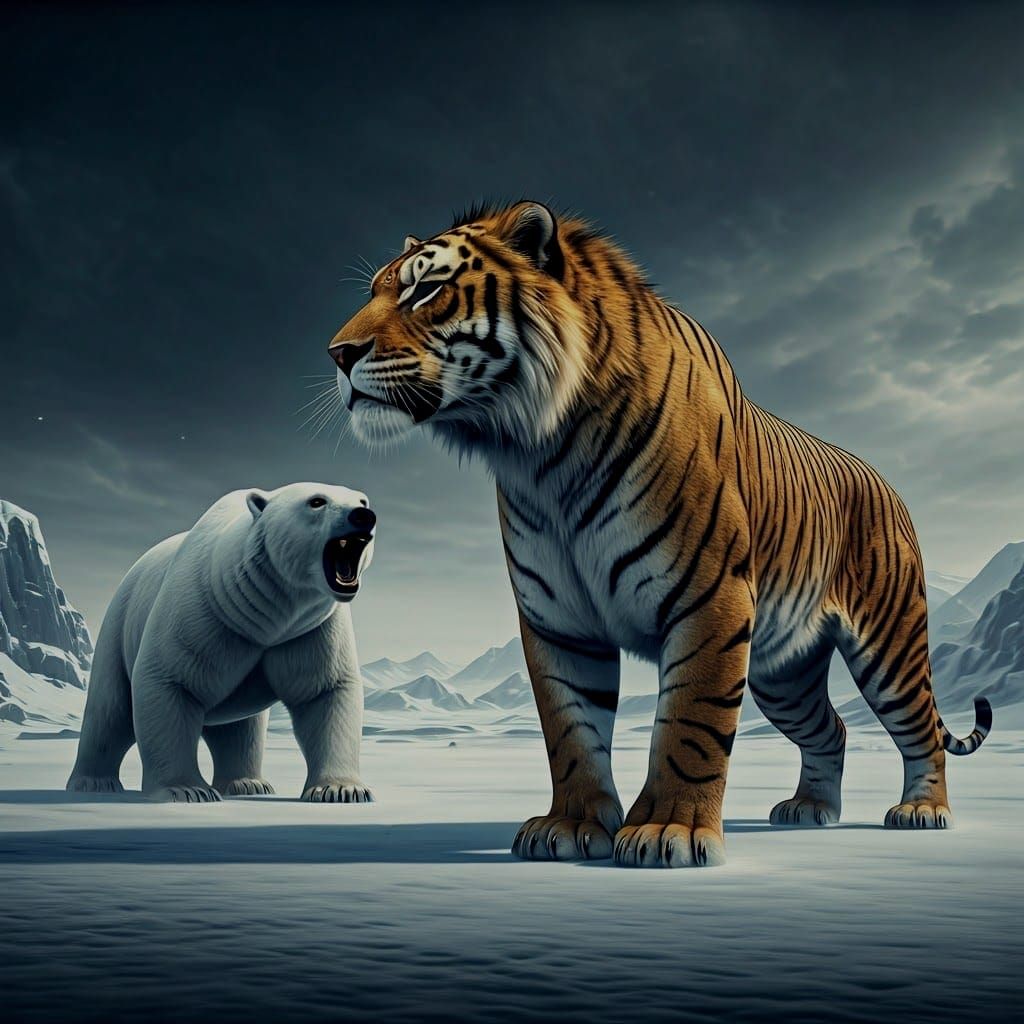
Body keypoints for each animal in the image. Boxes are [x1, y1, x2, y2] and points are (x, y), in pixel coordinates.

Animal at [66, 482, 377, 803]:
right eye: (316, 501)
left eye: (362, 500)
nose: (363, 516)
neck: (265, 618)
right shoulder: (200, 616)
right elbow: (168, 683)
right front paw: (187, 789)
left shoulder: (309, 631)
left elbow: (325, 693)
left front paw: (341, 789)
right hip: (118, 629)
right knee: (110, 713)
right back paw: (93, 782)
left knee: (239, 731)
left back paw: (248, 784)